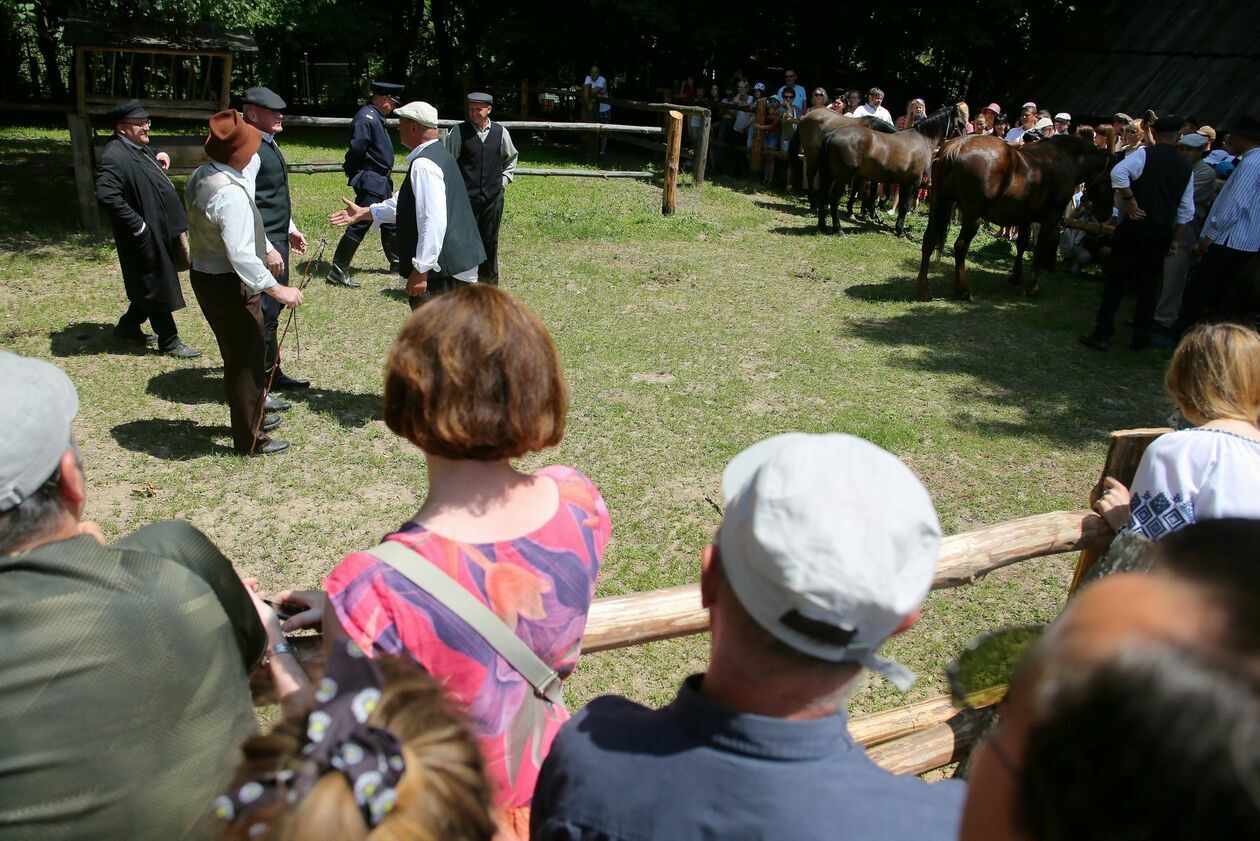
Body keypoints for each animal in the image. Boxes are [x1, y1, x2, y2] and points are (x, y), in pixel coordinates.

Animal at [816, 107, 962, 237]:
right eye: (960, 122)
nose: (962, 140)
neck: (921, 139)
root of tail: (832, 134)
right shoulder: (910, 183)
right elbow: (903, 206)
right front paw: (900, 231)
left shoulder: (900, 182)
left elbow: (895, 201)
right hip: (842, 177)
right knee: (833, 199)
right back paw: (838, 229)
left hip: (828, 175)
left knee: (823, 195)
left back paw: (822, 226)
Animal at [917, 133, 1113, 301]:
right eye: (1112, 179)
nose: (1107, 212)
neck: (1066, 159)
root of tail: (957, 146)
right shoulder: (1052, 217)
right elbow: (1040, 248)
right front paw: (1032, 285)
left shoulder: (1025, 217)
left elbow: (1022, 244)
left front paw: (1016, 277)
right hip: (973, 216)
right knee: (960, 246)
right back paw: (962, 290)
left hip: (939, 203)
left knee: (929, 239)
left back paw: (923, 290)